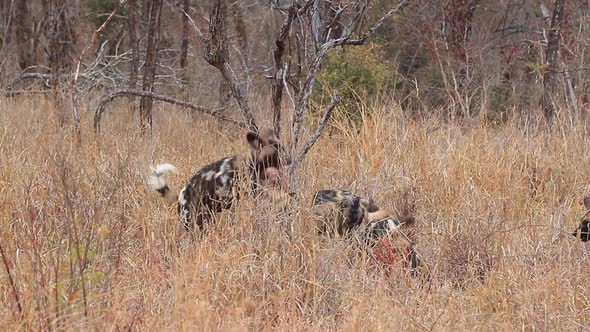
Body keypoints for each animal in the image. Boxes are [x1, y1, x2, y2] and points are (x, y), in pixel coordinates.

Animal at [148, 129, 286, 231]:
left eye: (282, 148)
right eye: (277, 150)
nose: (288, 159)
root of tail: (180, 196)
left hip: (204, 218)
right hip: (190, 221)